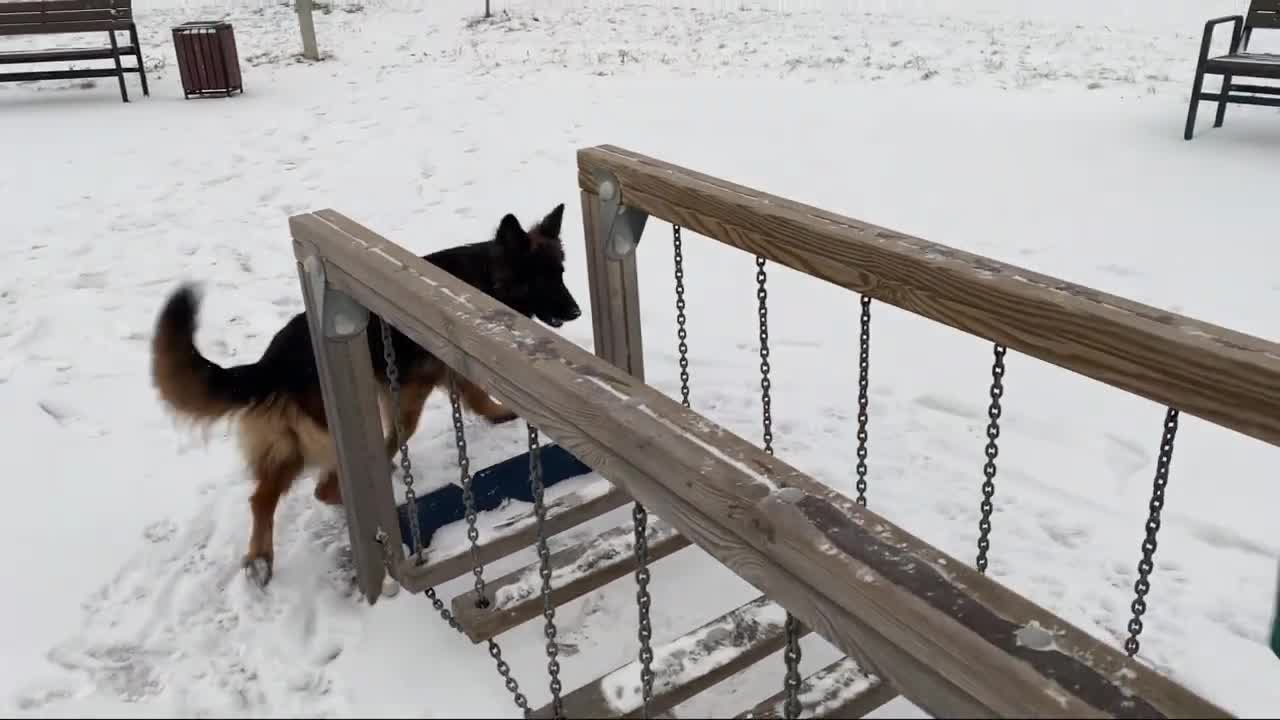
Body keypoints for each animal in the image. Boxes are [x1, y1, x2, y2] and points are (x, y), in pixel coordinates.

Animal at [148, 202, 581, 584]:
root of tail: (271, 362)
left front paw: (497, 414)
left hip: (290, 445)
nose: (576, 312)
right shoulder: (409, 390)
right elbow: (407, 428)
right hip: (326, 435)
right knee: (323, 488)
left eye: (561, 272)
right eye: (543, 278)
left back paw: (260, 558)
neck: (486, 278)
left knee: (262, 498)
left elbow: (474, 397)